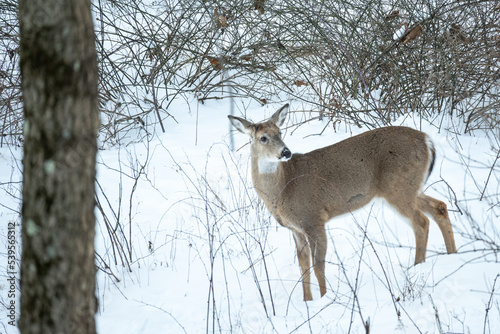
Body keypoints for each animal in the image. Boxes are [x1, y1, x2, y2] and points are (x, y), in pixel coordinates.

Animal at [229, 103, 458, 300]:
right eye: (263, 138)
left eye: (280, 133)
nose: (286, 152)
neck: (283, 188)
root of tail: (427, 140)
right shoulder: (295, 229)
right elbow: (303, 266)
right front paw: (307, 301)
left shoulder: (314, 219)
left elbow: (318, 265)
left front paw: (324, 299)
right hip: (410, 187)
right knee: (440, 207)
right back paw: (452, 255)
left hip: (398, 187)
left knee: (421, 221)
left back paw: (418, 265)